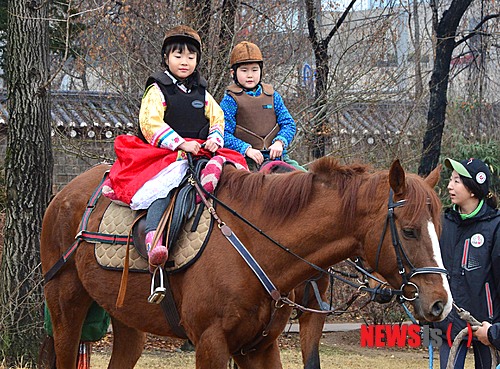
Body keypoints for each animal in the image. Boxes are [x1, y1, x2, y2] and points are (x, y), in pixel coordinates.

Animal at [41, 157, 452, 366]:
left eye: (440, 227)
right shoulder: (210, 344)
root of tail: (64, 193)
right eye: (410, 231)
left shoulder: (260, 347)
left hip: (127, 319)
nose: (440, 303)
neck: (258, 243)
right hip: (65, 307)